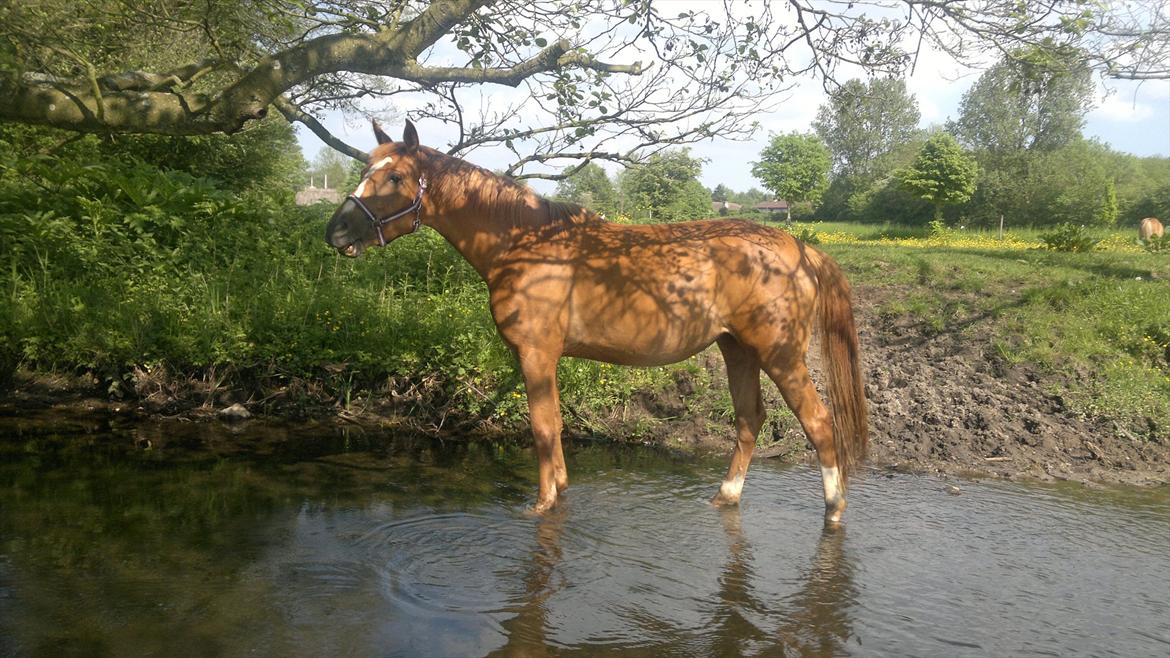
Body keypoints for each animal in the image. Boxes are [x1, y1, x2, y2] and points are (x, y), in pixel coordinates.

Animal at [322, 121, 870, 522]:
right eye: (367, 167)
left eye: (395, 177)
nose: (337, 231)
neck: (523, 242)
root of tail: (798, 248)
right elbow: (554, 426)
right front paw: (560, 489)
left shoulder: (537, 353)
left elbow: (544, 427)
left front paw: (543, 503)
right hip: (736, 349)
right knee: (748, 420)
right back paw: (725, 497)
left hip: (780, 354)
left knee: (818, 422)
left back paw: (834, 509)